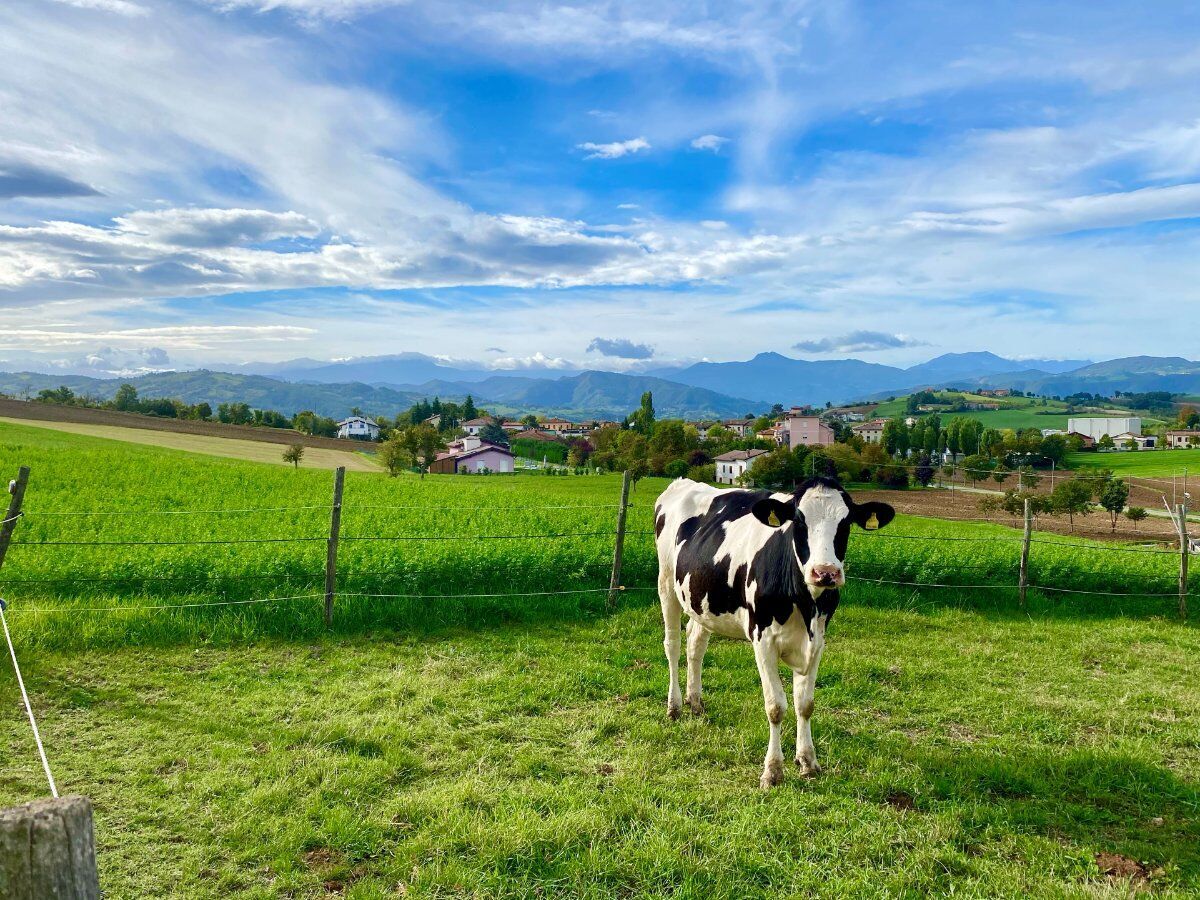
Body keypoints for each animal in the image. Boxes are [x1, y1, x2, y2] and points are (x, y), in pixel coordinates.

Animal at [652, 480, 897, 787]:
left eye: (846, 522)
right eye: (799, 522)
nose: (825, 573)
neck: (805, 602)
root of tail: (682, 482)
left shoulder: (818, 640)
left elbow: (805, 704)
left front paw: (808, 762)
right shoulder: (763, 639)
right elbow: (776, 706)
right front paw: (773, 771)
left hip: (702, 600)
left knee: (695, 645)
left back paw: (695, 702)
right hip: (666, 584)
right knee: (672, 645)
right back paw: (674, 707)